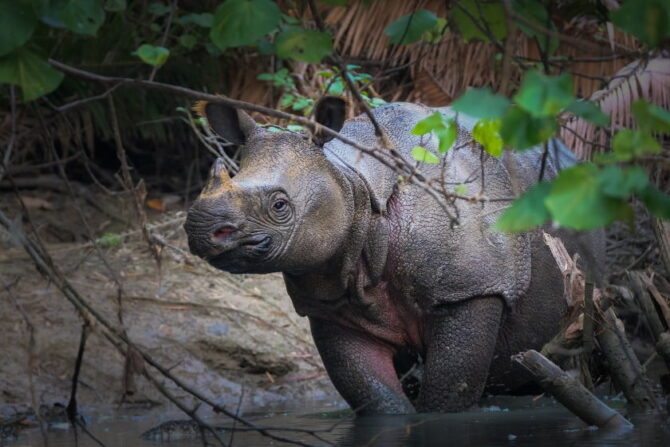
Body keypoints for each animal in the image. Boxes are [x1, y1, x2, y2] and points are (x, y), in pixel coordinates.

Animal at [184, 98, 603, 414]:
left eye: (279, 205)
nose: (200, 230)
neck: (353, 189)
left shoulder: (472, 287)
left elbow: (448, 394)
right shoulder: (332, 302)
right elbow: (377, 399)